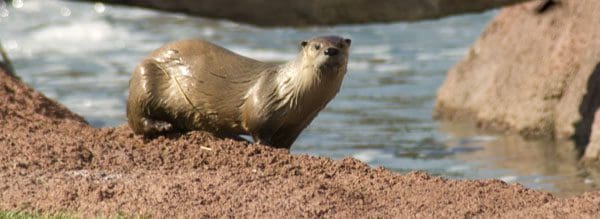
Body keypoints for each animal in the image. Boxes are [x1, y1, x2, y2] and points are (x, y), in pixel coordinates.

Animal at [127, 36, 352, 149]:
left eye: (341, 44)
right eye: (316, 46)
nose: (331, 50)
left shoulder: (298, 124)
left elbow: (286, 143)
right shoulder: (262, 105)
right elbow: (258, 130)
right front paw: (266, 146)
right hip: (145, 79)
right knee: (137, 120)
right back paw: (163, 126)